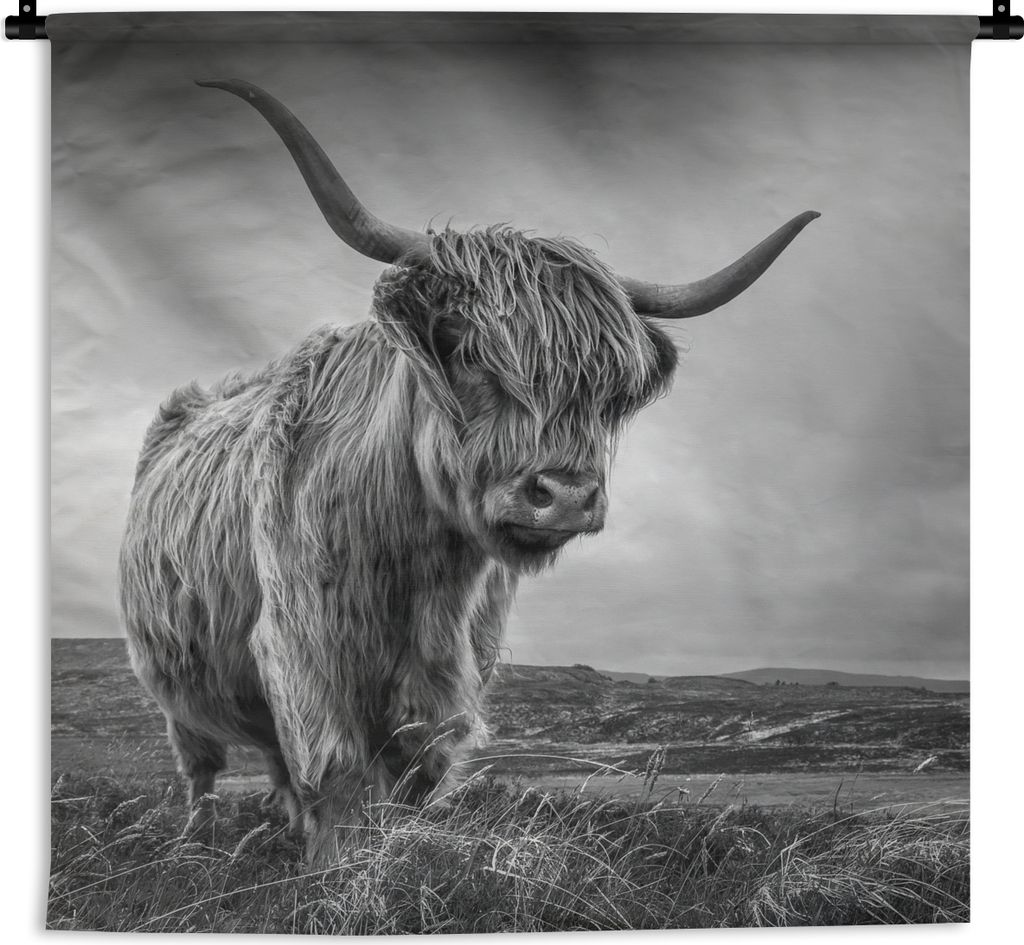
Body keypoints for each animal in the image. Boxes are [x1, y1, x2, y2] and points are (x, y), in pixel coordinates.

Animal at [118, 79, 818, 865]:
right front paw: (337, 868)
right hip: (174, 686)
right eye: (462, 344)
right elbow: (336, 773)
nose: (565, 495)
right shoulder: (303, 649)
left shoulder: (453, 672)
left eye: (608, 388)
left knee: (271, 762)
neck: (420, 567)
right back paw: (195, 839)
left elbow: (413, 772)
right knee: (201, 765)